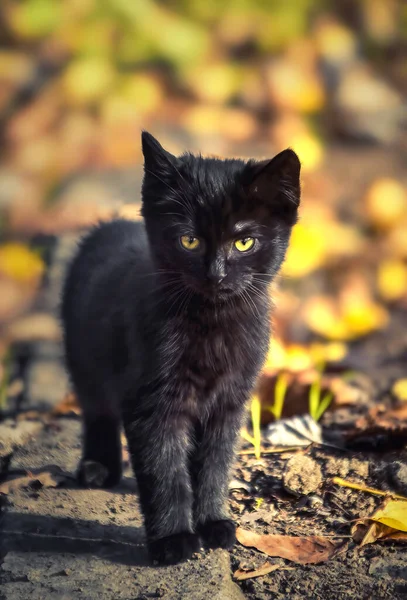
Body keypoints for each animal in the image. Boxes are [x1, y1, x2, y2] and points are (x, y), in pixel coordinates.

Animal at [62, 131, 302, 564]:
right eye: (189, 240)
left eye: (244, 241)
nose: (216, 274)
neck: (211, 325)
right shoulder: (151, 402)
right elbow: (164, 471)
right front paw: (174, 540)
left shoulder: (230, 401)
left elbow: (214, 465)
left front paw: (211, 523)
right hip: (82, 361)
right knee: (97, 411)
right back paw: (98, 467)